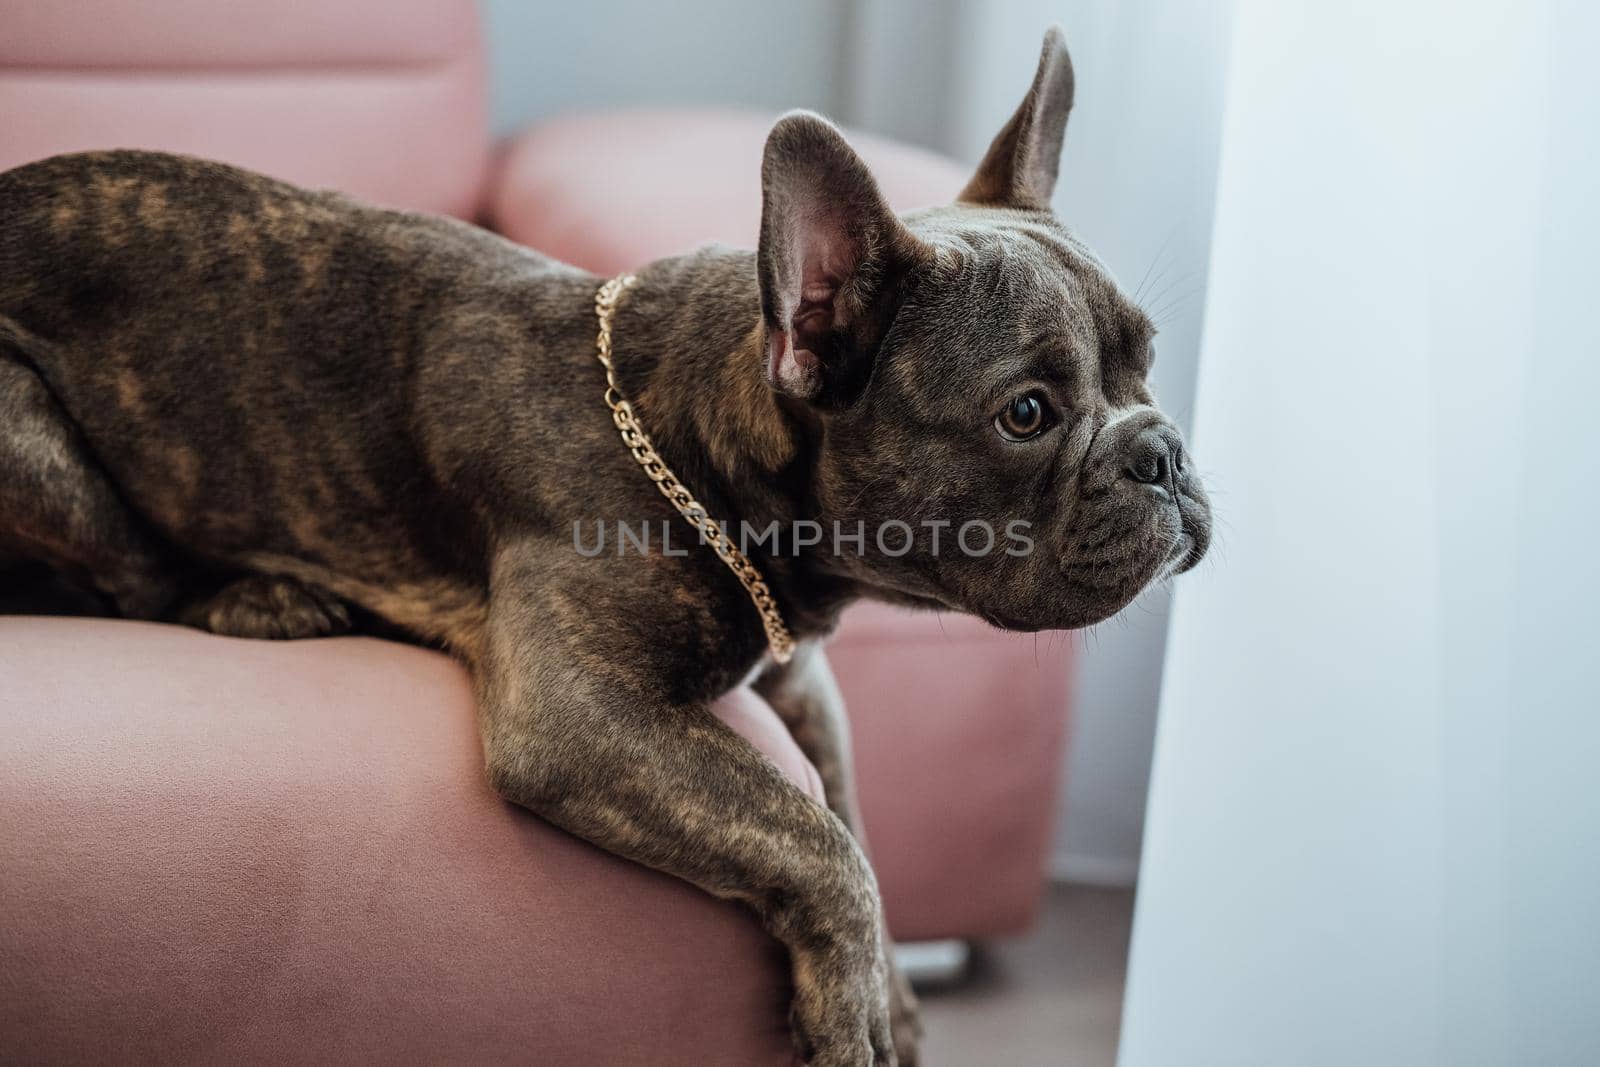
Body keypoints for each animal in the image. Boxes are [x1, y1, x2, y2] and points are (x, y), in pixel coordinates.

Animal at [0, 29, 1203, 1062]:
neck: (697, 443)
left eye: (1147, 363)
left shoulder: (802, 675)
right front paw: (855, 1004)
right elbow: (814, 834)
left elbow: (849, 802)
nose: (1164, 448)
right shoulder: (583, 712)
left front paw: (897, 998)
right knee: (121, 580)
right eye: (1026, 413)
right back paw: (256, 596)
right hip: (35, 442)